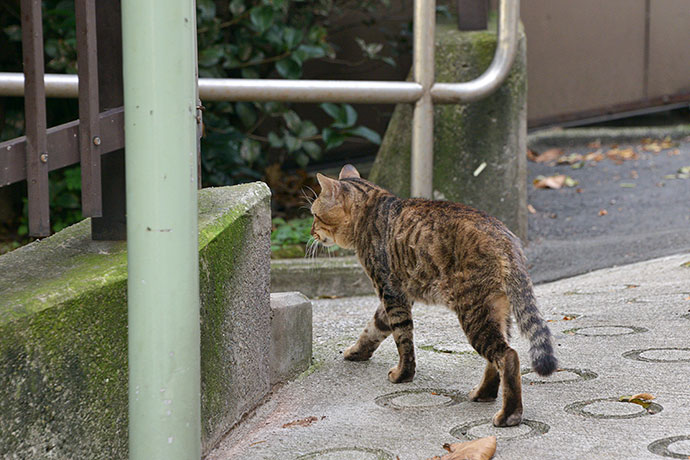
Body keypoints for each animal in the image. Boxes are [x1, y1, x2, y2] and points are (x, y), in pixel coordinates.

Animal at [310, 164, 556, 428]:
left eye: (315, 215)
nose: (311, 232)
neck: (371, 212)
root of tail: (504, 237)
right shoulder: (397, 296)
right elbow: (373, 329)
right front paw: (357, 352)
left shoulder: (390, 292)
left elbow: (402, 340)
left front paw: (402, 375)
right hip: (496, 311)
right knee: (497, 357)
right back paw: (484, 393)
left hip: (473, 311)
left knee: (508, 355)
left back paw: (509, 414)